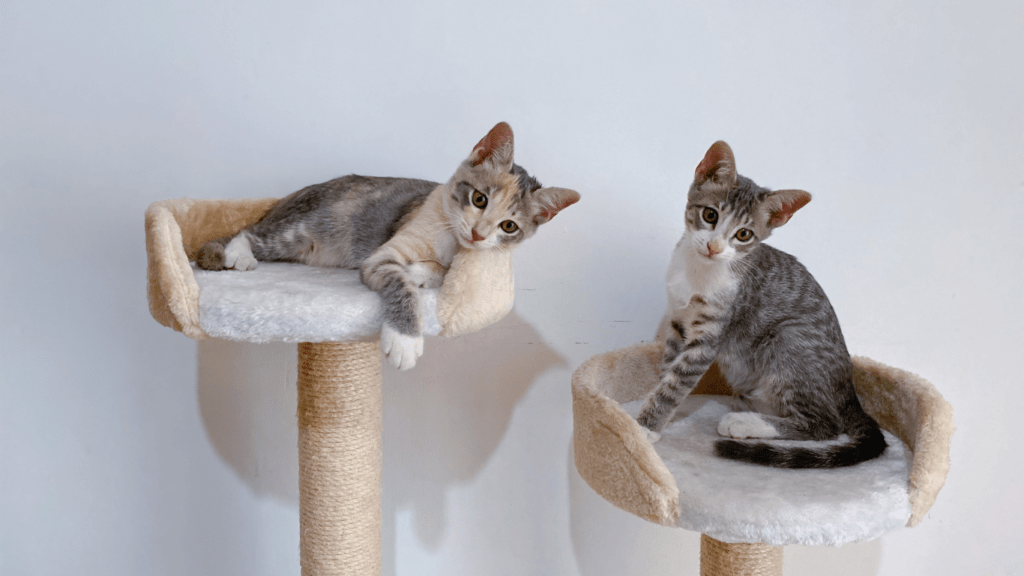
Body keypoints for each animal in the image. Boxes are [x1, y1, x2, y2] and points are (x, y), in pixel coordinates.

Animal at [195, 123, 581, 368]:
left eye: (509, 226)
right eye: (479, 198)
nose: (478, 234)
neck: (449, 239)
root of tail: (283, 201)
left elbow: (442, 272)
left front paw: (425, 272)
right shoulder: (383, 254)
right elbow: (399, 282)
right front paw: (405, 340)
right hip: (300, 230)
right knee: (247, 231)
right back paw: (238, 254)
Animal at [634, 139, 884, 467]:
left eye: (743, 234)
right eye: (710, 215)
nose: (714, 247)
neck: (698, 273)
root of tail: (849, 386)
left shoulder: (710, 336)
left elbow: (676, 383)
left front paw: (644, 427)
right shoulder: (678, 322)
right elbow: (668, 372)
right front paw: (660, 409)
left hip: (788, 338)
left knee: (826, 425)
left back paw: (745, 422)